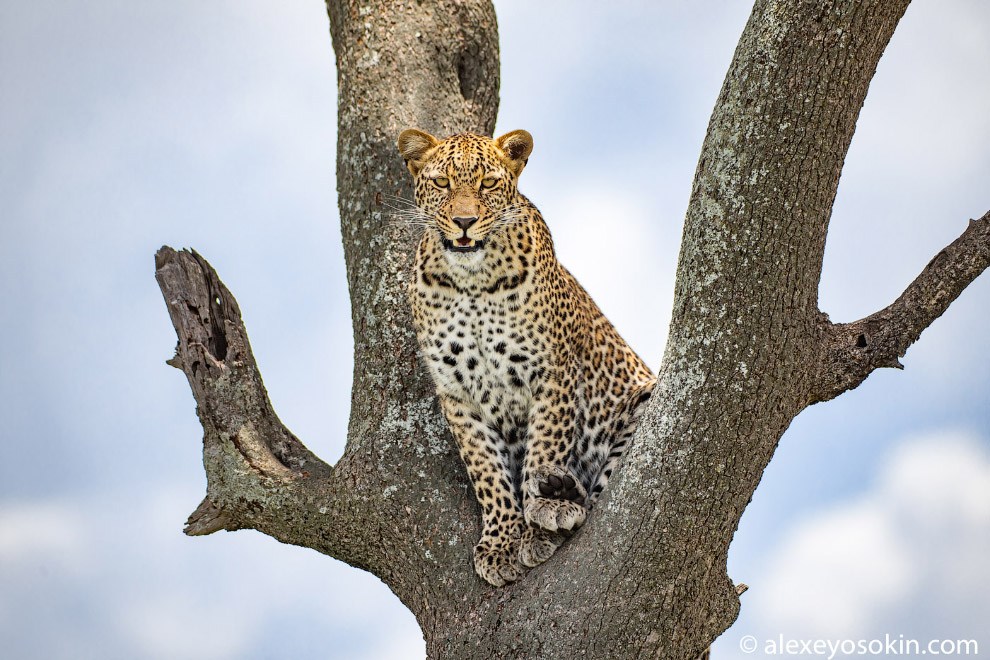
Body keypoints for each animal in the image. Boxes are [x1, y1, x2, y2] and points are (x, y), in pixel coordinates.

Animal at [396, 129, 660, 588]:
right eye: (442, 183)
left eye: (487, 183)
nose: (464, 222)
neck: (471, 282)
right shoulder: (457, 394)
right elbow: (486, 470)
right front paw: (501, 543)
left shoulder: (552, 373)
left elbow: (545, 446)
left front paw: (541, 515)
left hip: (644, 395)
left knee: (599, 493)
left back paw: (564, 501)